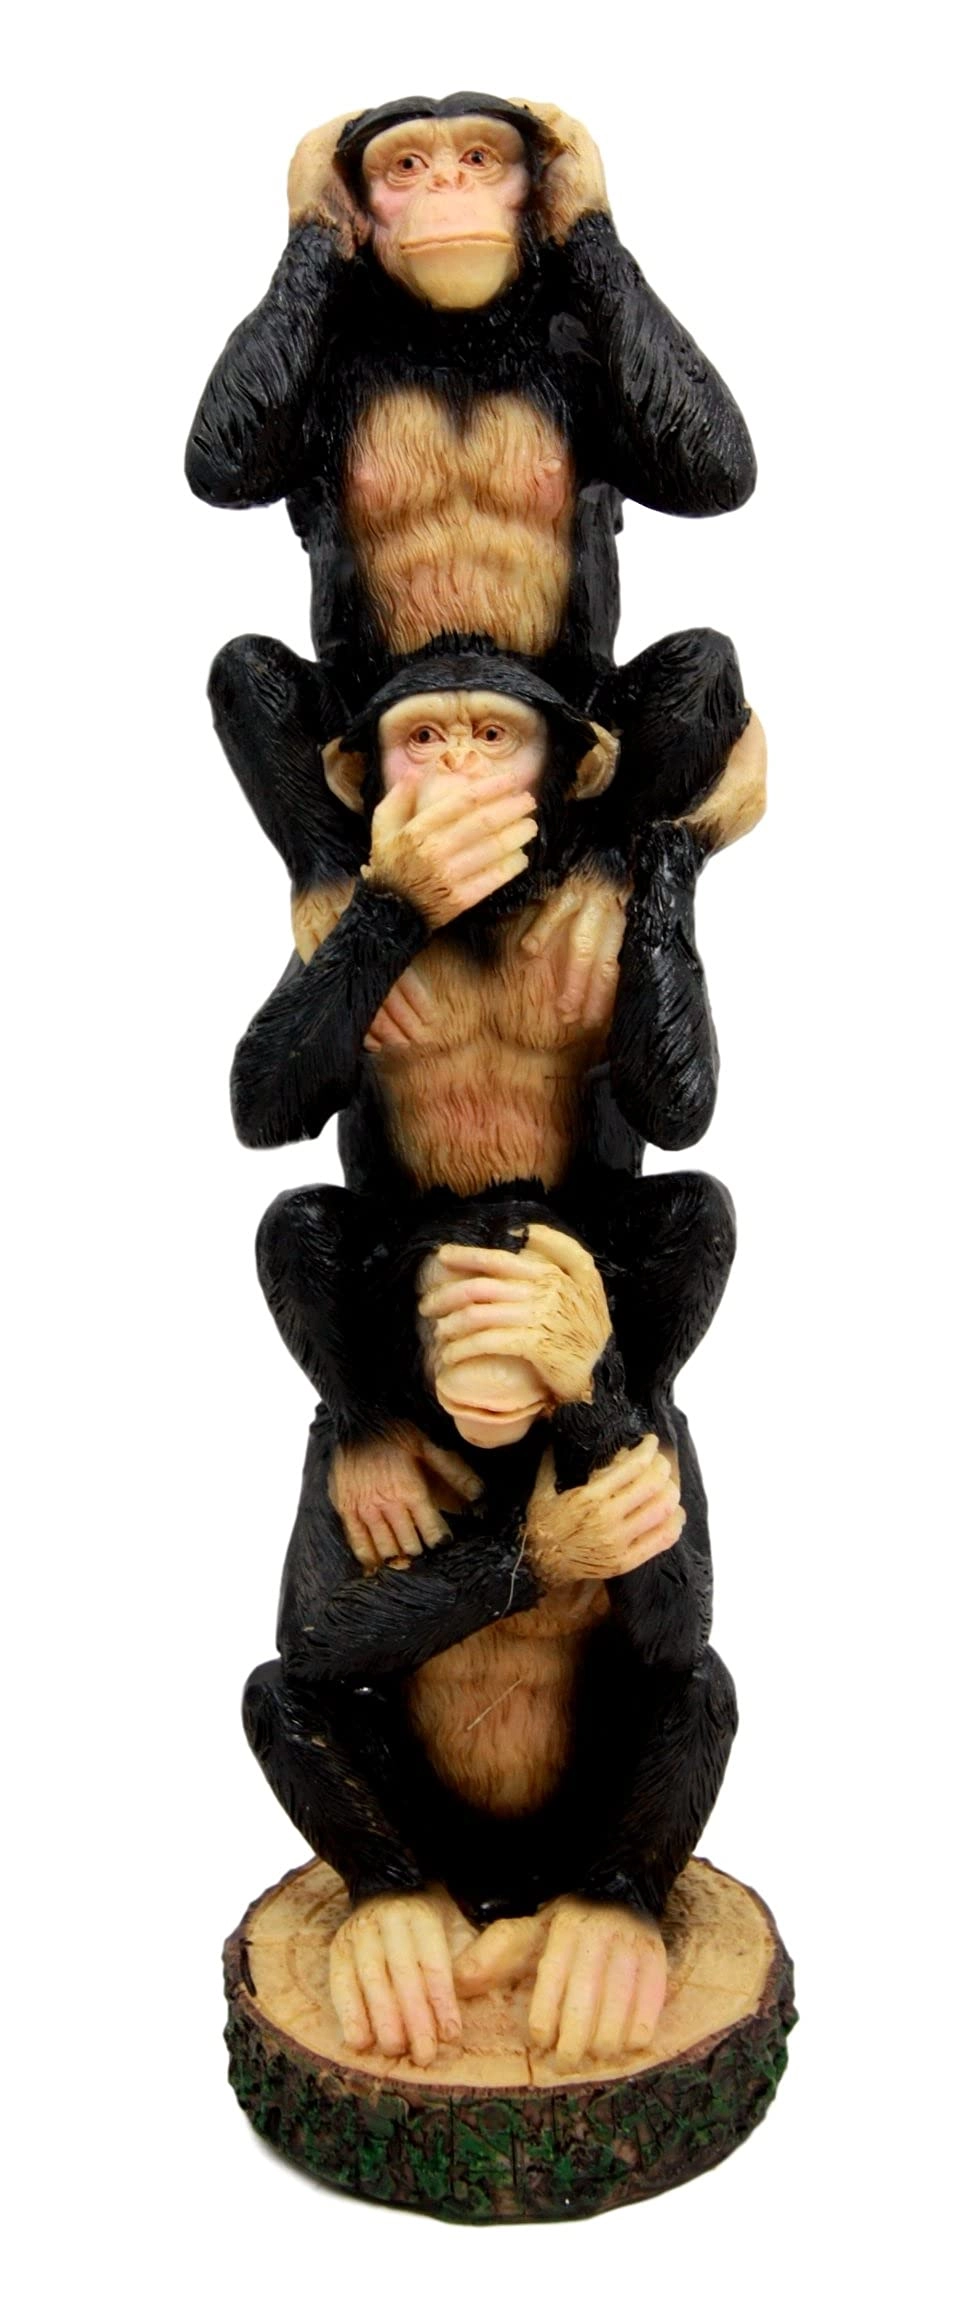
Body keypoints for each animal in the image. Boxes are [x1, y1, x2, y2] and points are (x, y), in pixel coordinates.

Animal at [186, 96, 756, 715]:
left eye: (477, 157)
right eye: (407, 165)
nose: (447, 182)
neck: (455, 343)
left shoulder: (579, 342)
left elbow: (709, 462)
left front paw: (573, 167)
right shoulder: (327, 351)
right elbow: (227, 460)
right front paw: (318, 179)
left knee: (699, 661)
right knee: (249, 667)